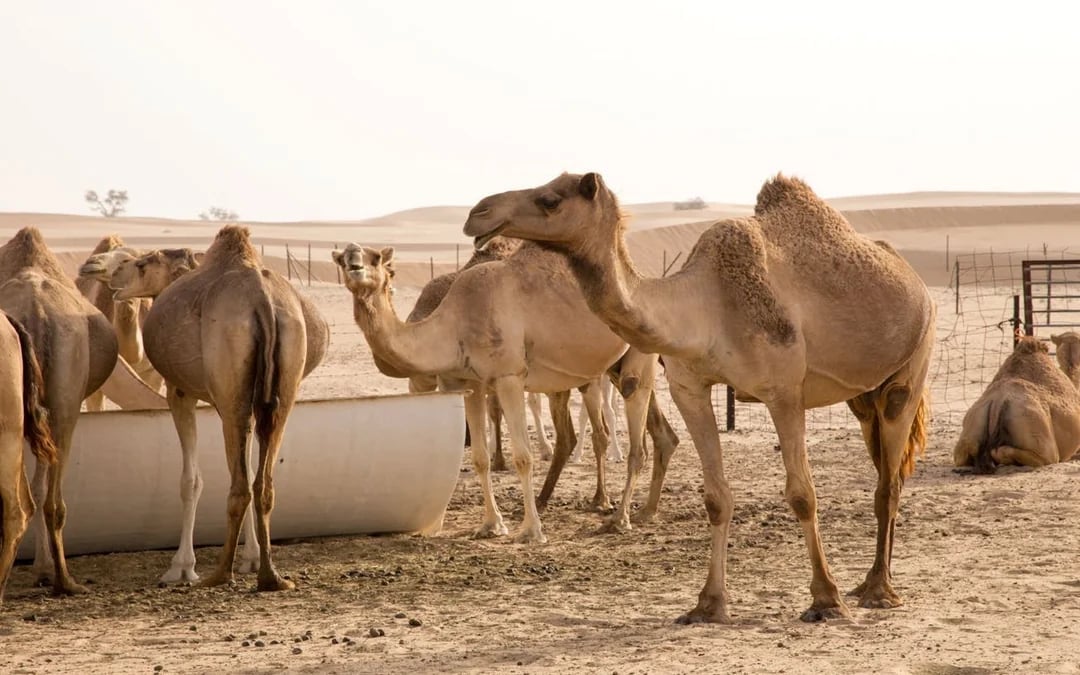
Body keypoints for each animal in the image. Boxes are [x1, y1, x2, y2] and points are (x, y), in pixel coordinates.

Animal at [0, 227, 119, 595]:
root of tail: (36, 310)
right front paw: (43, 570)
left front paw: (40, 569)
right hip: (66, 399)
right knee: (53, 500)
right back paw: (65, 581)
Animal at [109, 228, 329, 589]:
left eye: (142, 263)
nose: (114, 274)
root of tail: (262, 302)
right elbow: (248, 471)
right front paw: (250, 558)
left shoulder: (179, 392)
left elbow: (190, 480)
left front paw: (181, 567)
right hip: (282, 388)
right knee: (262, 483)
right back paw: (270, 576)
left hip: (231, 393)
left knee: (239, 485)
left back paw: (220, 574)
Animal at [332, 240, 678, 543]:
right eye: (341, 259)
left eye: (377, 258)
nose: (354, 263)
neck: (454, 323)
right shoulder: (467, 384)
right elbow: (479, 458)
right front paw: (491, 525)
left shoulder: (509, 375)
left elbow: (523, 457)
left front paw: (532, 531)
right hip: (614, 368)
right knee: (653, 432)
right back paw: (642, 511)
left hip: (638, 359)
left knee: (637, 441)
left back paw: (619, 519)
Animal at [463, 172, 935, 623]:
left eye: (550, 200)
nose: (477, 213)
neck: (706, 308)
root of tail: (916, 282)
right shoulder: (689, 388)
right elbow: (716, 498)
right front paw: (708, 605)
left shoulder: (784, 392)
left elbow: (803, 494)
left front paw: (826, 599)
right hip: (864, 398)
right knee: (884, 467)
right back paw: (869, 583)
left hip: (912, 367)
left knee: (889, 480)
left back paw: (878, 591)